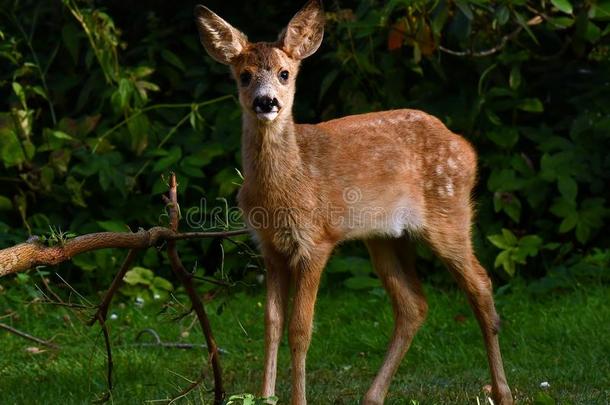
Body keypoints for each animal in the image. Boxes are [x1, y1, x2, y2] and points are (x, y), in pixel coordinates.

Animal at [195, 0, 512, 404]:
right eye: (244, 76)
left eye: (284, 74)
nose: (266, 102)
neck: (286, 184)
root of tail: (467, 149)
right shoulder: (270, 246)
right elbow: (271, 325)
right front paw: (265, 396)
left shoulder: (316, 240)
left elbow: (300, 329)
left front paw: (297, 399)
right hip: (385, 236)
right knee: (413, 305)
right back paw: (373, 395)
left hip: (449, 213)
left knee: (481, 284)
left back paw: (502, 392)